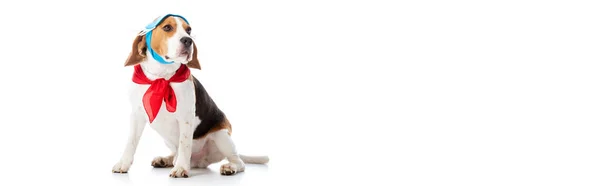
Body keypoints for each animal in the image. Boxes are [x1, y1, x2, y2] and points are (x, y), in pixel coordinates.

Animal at [113, 14, 268, 177]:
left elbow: (185, 144)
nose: (188, 40)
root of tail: (200, 160)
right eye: (167, 27)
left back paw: (229, 167)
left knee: (239, 162)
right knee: (176, 155)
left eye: (189, 30)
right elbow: (131, 142)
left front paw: (181, 168)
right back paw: (166, 160)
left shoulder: (186, 117)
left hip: (222, 137)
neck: (162, 77)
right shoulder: (136, 116)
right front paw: (123, 164)